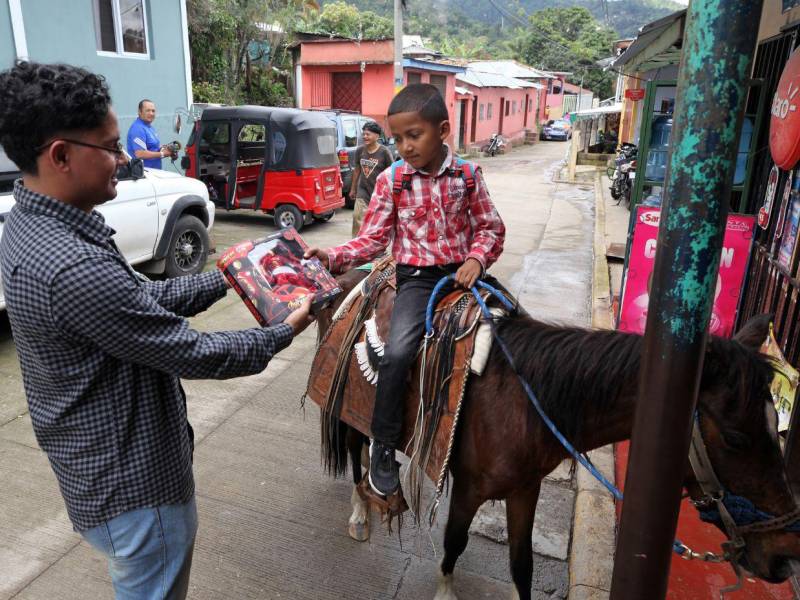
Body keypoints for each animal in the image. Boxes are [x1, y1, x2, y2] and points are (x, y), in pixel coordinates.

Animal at [314, 270, 800, 596]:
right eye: (736, 439)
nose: (785, 556)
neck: (523, 400)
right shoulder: (469, 489)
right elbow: (454, 544)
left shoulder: (524, 490)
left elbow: (522, 564)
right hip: (352, 411)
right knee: (357, 452)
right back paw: (362, 511)